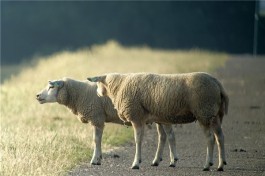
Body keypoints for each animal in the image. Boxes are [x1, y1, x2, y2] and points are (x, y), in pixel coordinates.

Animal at [35, 78, 177, 166]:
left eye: (51, 86)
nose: (37, 95)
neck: (79, 94)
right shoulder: (99, 119)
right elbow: (99, 139)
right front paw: (99, 158)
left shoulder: (97, 118)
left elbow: (96, 140)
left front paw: (95, 160)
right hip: (159, 118)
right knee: (162, 136)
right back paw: (156, 161)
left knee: (170, 136)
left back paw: (173, 161)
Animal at [87, 72, 228, 171]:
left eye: (98, 84)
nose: (98, 94)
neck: (118, 86)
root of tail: (218, 84)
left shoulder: (136, 117)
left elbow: (138, 140)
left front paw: (136, 163)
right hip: (214, 114)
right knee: (220, 137)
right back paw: (220, 165)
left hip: (204, 111)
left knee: (210, 138)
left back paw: (207, 165)